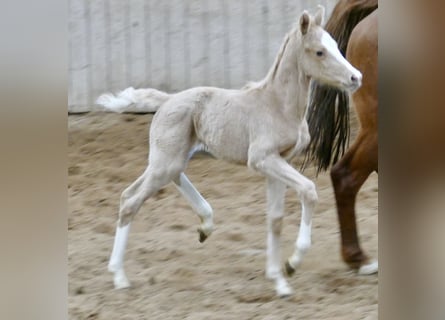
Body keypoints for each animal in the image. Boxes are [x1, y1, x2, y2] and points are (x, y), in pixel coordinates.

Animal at [98, 6, 360, 298]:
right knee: (130, 201)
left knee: (155, 184)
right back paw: (119, 276)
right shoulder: (262, 159)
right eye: (319, 52)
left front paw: (278, 281)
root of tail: (167, 100)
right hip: (165, 162)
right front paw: (291, 264)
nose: (355, 78)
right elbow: (309, 190)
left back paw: (205, 225)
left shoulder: (278, 162)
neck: (277, 105)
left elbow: (275, 218)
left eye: (335, 45)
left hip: (171, 159)